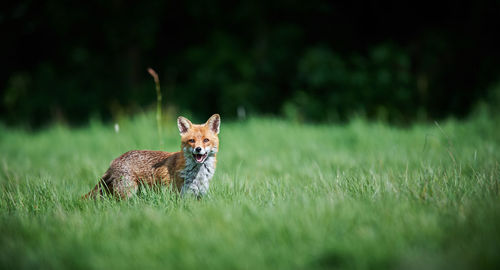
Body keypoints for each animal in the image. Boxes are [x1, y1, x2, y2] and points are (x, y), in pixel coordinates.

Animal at [84, 113, 221, 199]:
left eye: (206, 140)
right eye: (192, 140)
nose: (198, 149)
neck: (199, 175)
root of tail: (114, 160)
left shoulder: (198, 196)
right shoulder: (179, 194)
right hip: (127, 193)